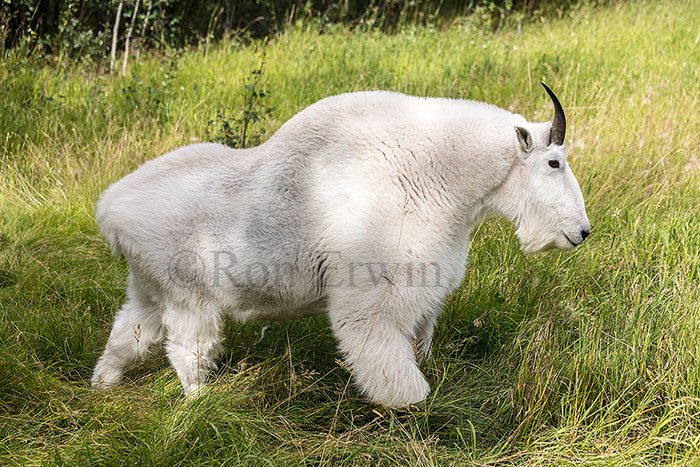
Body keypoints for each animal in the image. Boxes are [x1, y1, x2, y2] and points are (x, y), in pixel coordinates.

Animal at [90, 82, 588, 408]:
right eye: (553, 162)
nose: (582, 232)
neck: (438, 172)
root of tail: (110, 209)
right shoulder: (376, 296)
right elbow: (396, 371)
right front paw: (411, 410)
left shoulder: (427, 289)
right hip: (189, 298)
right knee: (186, 352)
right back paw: (200, 403)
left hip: (147, 289)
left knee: (126, 336)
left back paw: (103, 385)